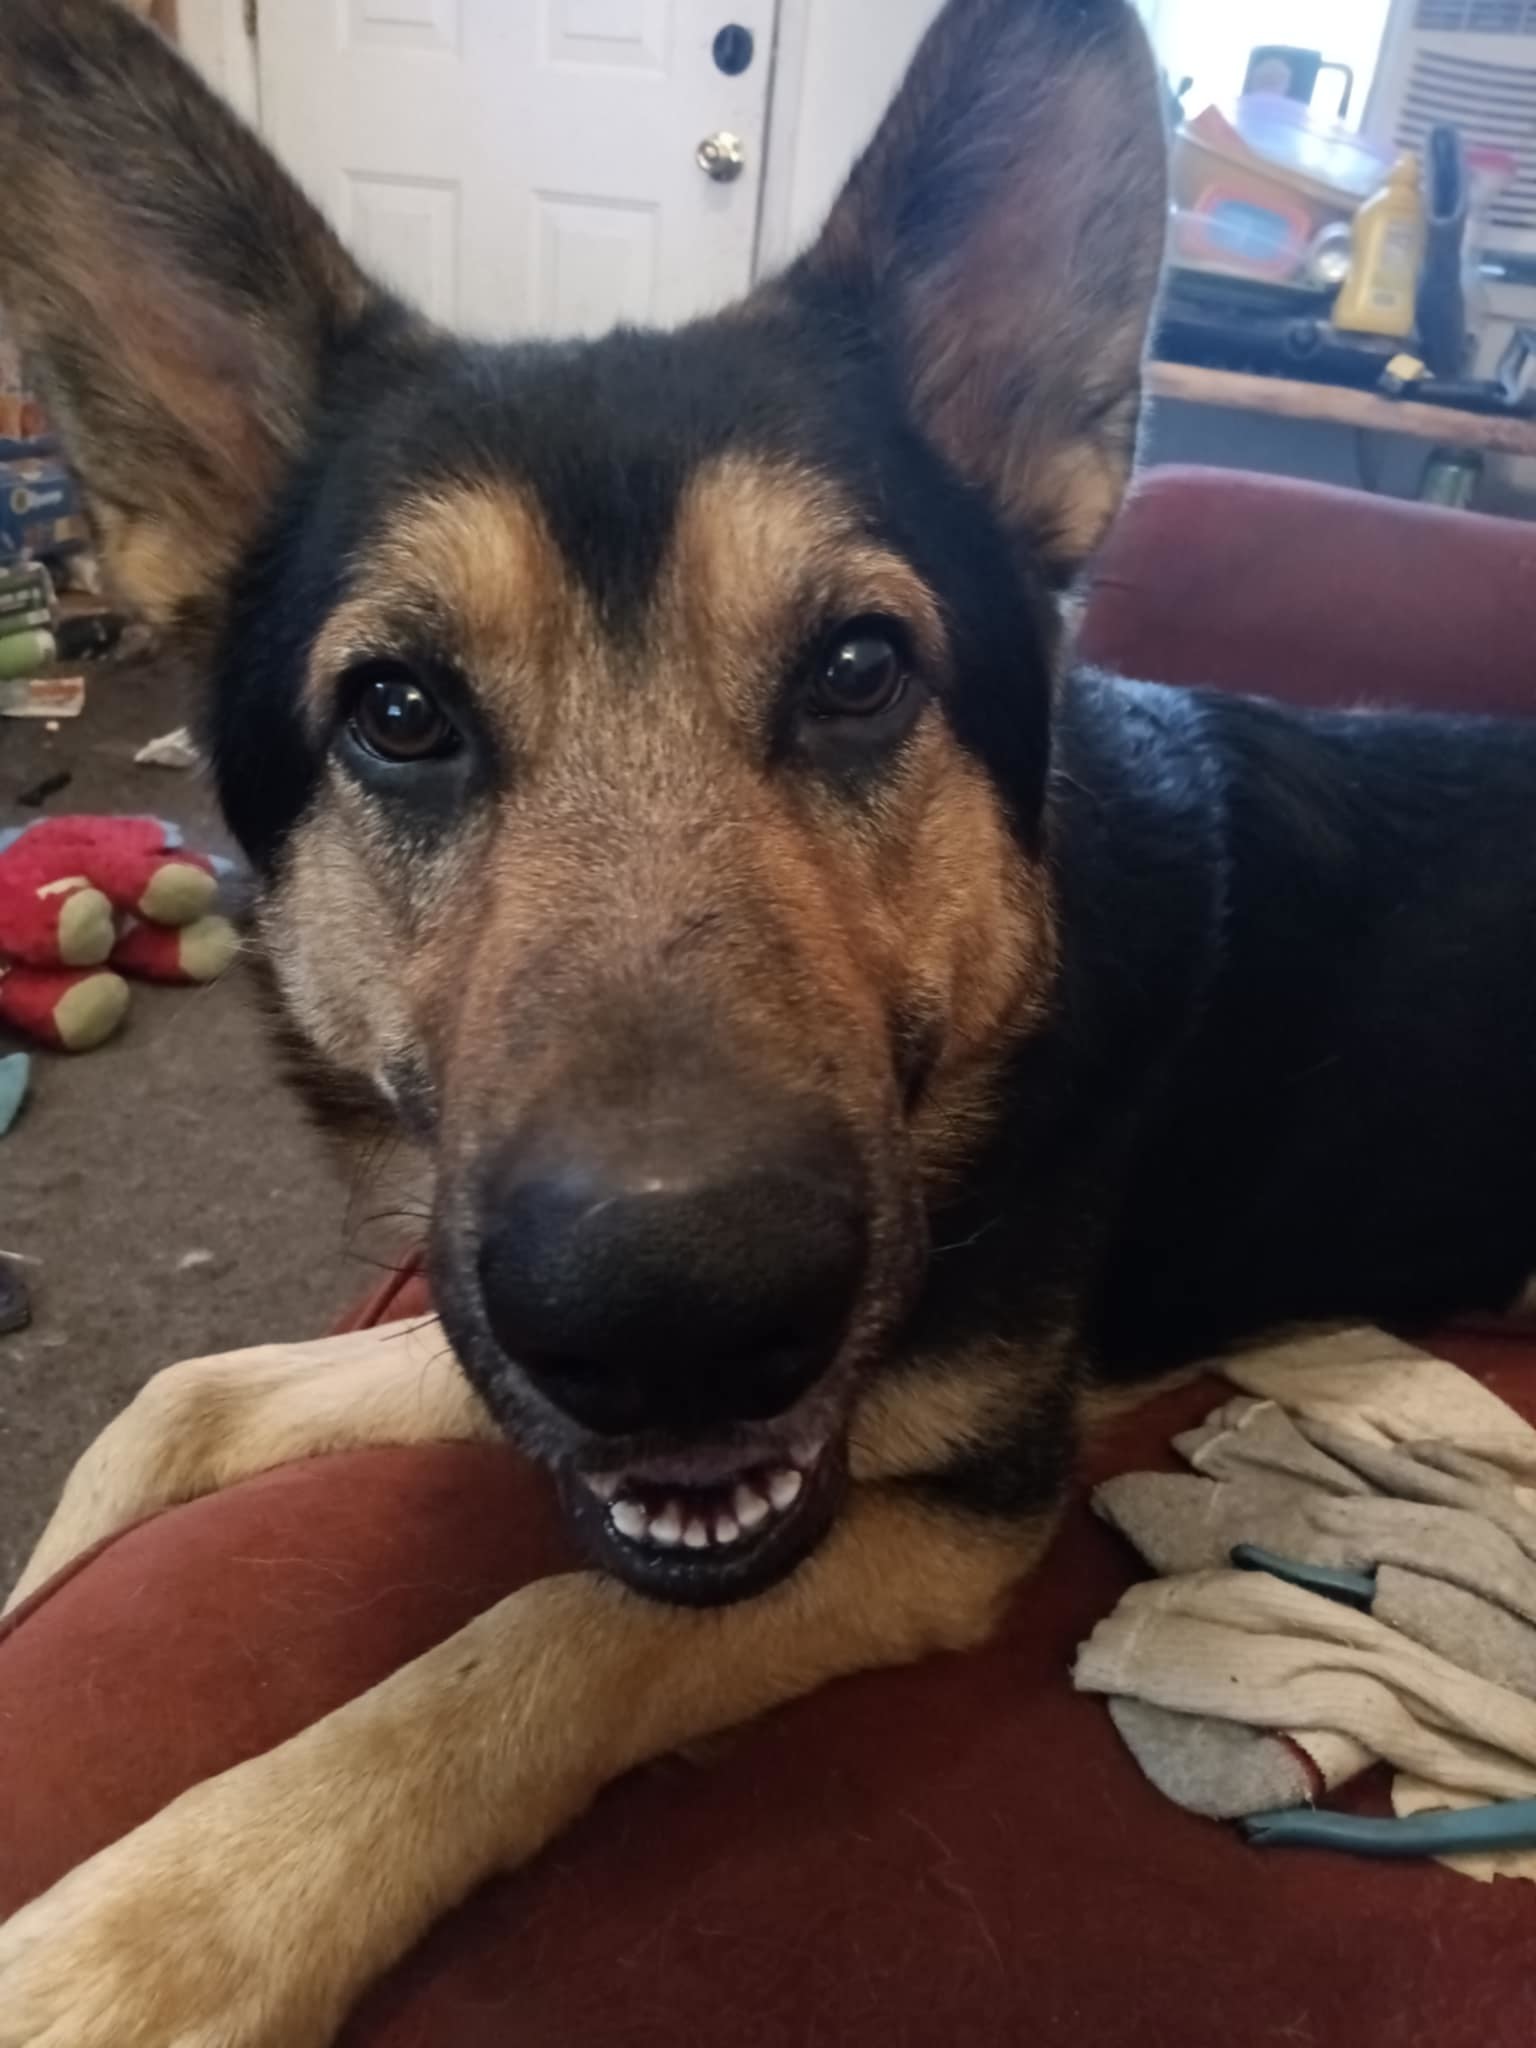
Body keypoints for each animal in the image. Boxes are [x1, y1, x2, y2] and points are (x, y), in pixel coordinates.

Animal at [3, 0, 1536, 2039]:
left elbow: (540, 1634)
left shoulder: (956, 1507)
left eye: (859, 671)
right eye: (400, 712)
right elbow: (193, 1396)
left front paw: (166, 1926)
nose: (677, 1326)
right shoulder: (487, 1327)